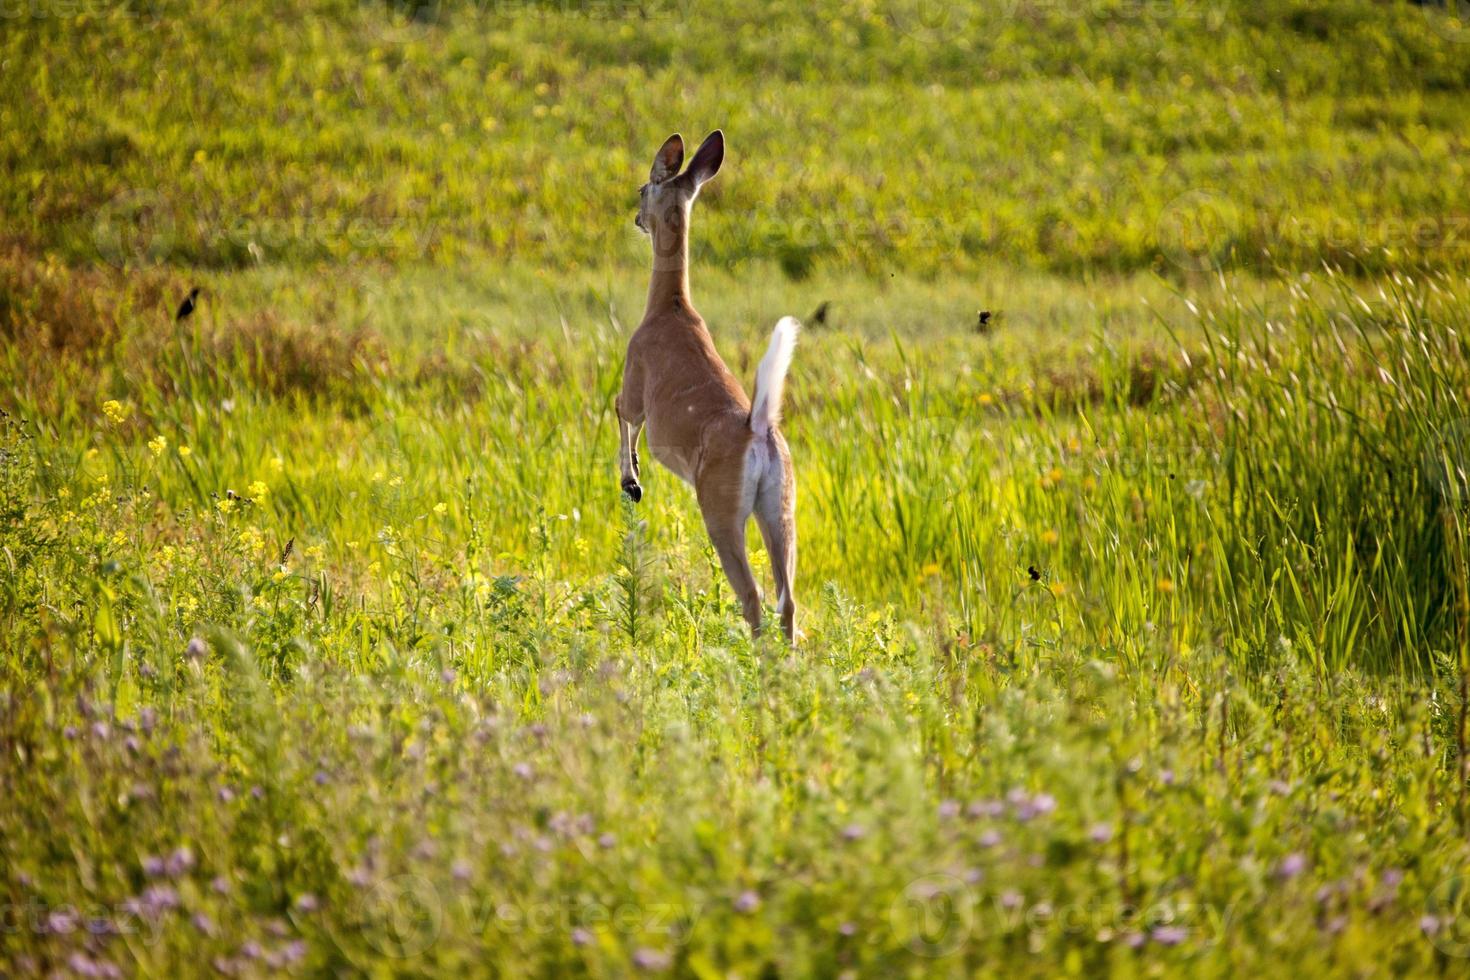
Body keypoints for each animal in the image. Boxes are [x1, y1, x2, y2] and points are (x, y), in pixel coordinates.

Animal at [620, 130, 805, 643]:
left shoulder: (635, 376)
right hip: (780, 505)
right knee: (787, 598)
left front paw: (631, 481)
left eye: (643, 189)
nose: (636, 218)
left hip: (720, 507)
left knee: (754, 595)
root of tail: (758, 431)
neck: (668, 306)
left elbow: (621, 413)